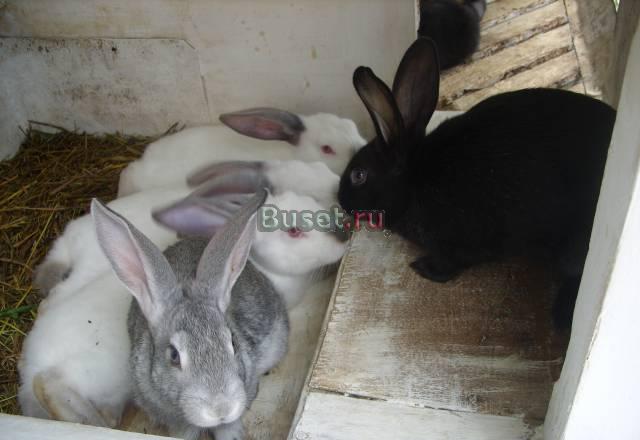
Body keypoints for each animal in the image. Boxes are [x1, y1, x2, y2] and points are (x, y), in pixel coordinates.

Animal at [338, 37, 616, 329]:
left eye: (358, 176)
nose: (340, 199)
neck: (414, 180)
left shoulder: (455, 245)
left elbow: (449, 266)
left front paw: (422, 268)